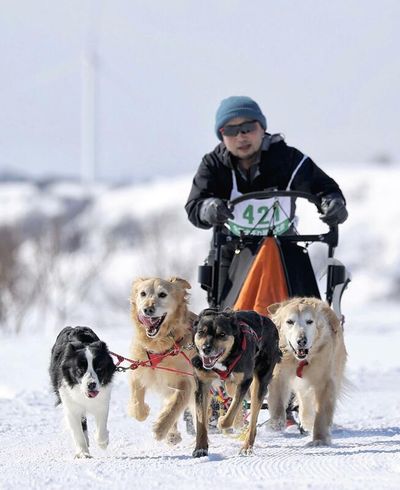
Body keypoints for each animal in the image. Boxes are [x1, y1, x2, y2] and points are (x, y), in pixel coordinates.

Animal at [48, 328, 115, 458]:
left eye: (99, 368)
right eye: (80, 370)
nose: (91, 384)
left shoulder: (102, 401)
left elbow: (101, 427)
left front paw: (103, 443)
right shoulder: (70, 404)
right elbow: (77, 431)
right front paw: (83, 453)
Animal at [128, 278, 197, 446]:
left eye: (162, 294)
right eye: (143, 293)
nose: (148, 309)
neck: (159, 346)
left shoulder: (185, 381)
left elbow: (175, 404)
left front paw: (160, 429)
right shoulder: (138, 371)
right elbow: (136, 402)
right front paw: (143, 412)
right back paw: (172, 435)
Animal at [191, 308, 282, 458]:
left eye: (221, 334)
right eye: (201, 332)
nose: (206, 349)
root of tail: (268, 321)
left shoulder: (245, 381)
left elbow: (230, 414)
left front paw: (221, 422)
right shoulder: (202, 384)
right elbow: (201, 421)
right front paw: (200, 448)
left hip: (259, 383)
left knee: (252, 420)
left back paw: (246, 446)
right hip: (232, 386)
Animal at [266, 296, 346, 446]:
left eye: (309, 321)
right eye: (290, 322)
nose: (301, 341)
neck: (301, 360)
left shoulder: (325, 380)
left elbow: (321, 411)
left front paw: (319, 439)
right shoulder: (279, 372)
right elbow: (277, 398)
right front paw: (276, 423)